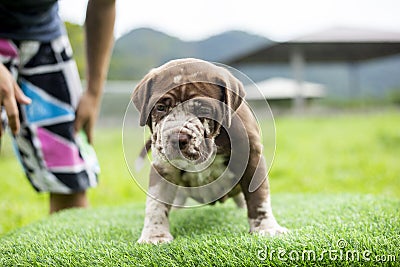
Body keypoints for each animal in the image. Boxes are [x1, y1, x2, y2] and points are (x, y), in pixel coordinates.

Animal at [132, 58, 288, 245]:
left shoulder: (252, 156)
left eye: (203, 110)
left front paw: (266, 228)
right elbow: (156, 202)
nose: (176, 138)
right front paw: (154, 235)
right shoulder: (163, 167)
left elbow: (258, 196)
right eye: (161, 108)